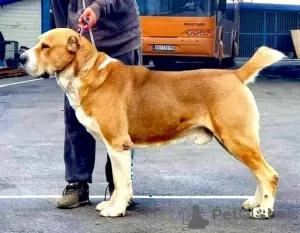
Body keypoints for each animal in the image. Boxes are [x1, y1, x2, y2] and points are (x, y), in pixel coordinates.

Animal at [20, 28, 284, 219]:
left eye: (45, 46)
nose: (21, 57)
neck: (87, 72)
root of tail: (235, 74)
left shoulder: (118, 144)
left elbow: (122, 182)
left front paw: (116, 210)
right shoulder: (115, 148)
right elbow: (117, 179)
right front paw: (112, 205)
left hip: (235, 138)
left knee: (268, 174)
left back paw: (264, 210)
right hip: (235, 141)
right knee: (258, 173)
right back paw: (255, 203)